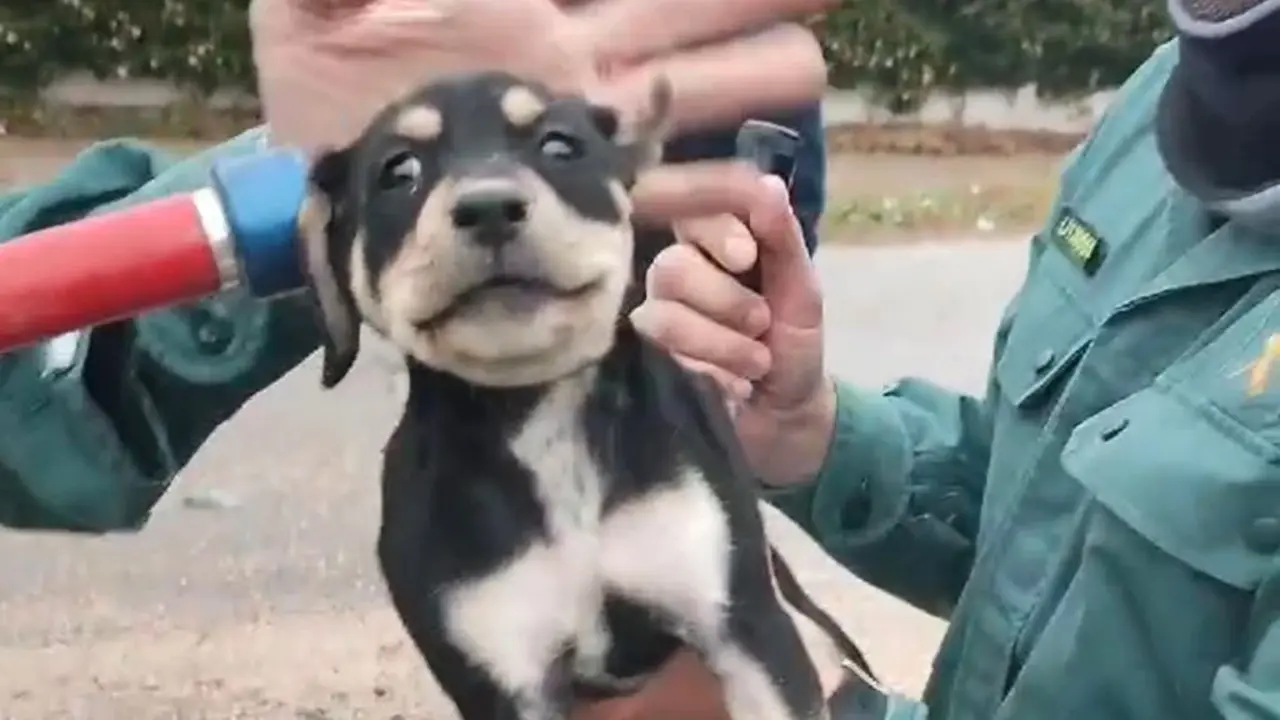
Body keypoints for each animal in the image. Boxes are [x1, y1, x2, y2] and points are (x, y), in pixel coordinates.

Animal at [297, 70, 872, 720]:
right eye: (399, 172)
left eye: (559, 147)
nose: (489, 207)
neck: (539, 410)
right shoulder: (506, 680)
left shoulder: (743, 621)